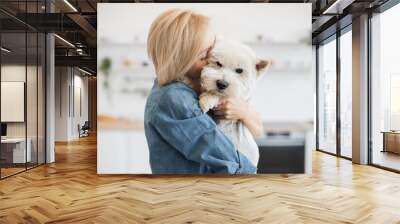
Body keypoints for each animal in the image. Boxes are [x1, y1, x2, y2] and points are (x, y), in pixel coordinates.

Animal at [199, 39, 270, 168]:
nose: (221, 84)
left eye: (239, 70)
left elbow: (222, 96)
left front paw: (207, 99)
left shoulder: (238, 98)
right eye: (218, 63)